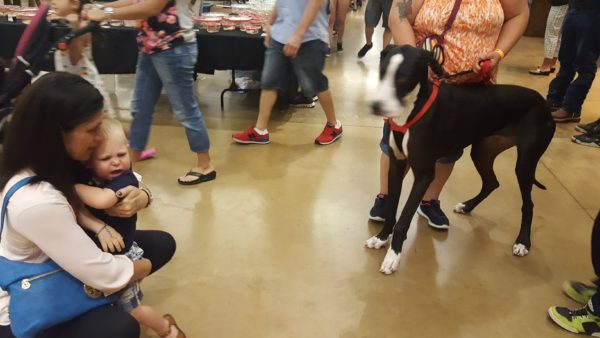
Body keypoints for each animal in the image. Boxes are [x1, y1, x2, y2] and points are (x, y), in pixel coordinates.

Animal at [368, 45, 556, 274]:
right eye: (381, 74)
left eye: (403, 79)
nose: (376, 106)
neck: (415, 108)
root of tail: (543, 103)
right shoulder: (397, 164)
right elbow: (391, 210)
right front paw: (381, 238)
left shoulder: (424, 175)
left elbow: (404, 219)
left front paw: (393, 255)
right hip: (483, 152)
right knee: (492, 182)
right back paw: (467, 206)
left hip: (525, 163)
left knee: (528, 204)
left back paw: (522, 242)